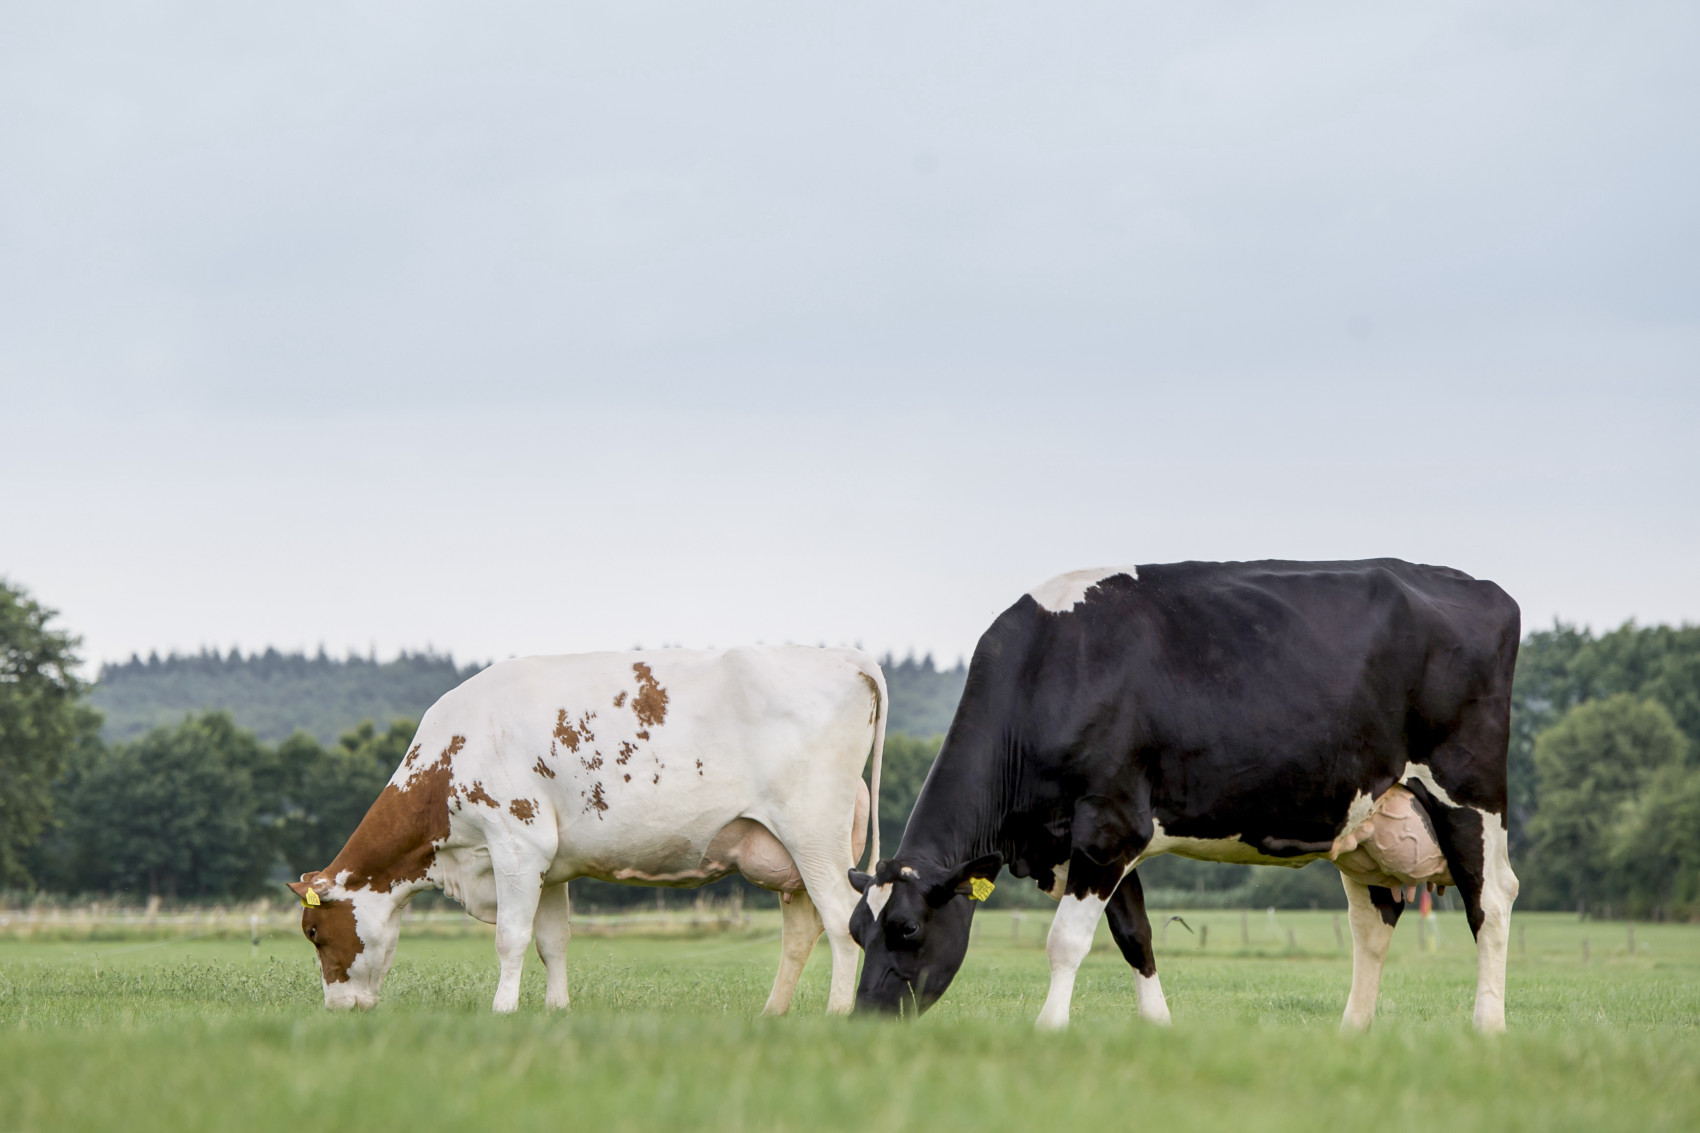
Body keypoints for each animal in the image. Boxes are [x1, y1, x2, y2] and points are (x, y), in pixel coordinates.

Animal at [288, 645, 886, 1015]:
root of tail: (844, 655)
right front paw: (557, 1010)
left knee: (841, 919)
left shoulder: (517, 844)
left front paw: (502, 1009)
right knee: (801, 930)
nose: (336, 1009)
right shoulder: (550, 865)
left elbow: (511, 937)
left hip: (814, 834)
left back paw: (837, 1013)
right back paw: (772, 1013)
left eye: (314, 932)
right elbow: (552, 942)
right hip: (788, 851)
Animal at [849, 559, 1520, 1033]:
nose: (862, 1024)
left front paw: (1048, 1028)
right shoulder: (1100, 841)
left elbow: (1066, 941)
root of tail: (1482, 586)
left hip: (1468, 796)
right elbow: (1135, 936)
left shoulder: (1110, 827)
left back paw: (1487, 1027)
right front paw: (1159, 1028)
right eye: (857, 931)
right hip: (1367, 825)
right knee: (1372, 925)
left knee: (1490, 903)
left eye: (908, 929)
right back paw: (1351, 1033)